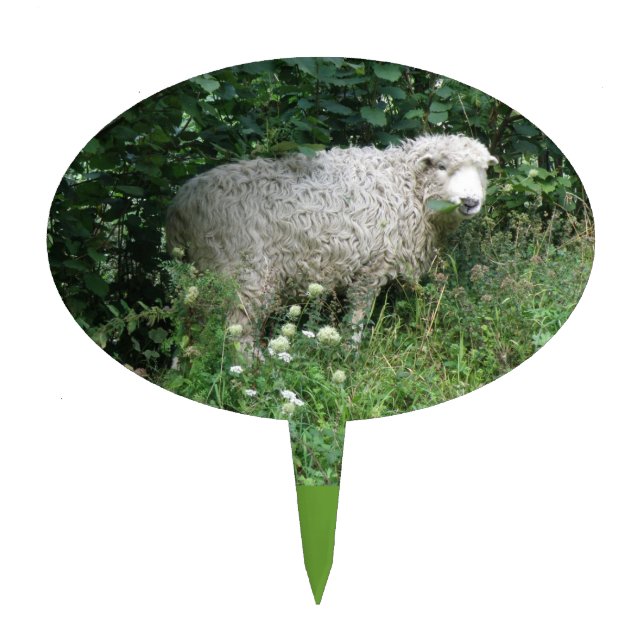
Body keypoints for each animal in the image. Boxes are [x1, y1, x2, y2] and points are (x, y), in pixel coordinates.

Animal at [166, 134, 498, 343]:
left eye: (482, 171)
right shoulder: (372, 267)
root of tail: (180, 207)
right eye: (442, 166)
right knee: (237, 331)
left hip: (197, 277)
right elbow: (358, 316)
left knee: (188, 325)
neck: (404, 185)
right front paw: (351, 353)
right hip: (244, 273)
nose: (471, 202)